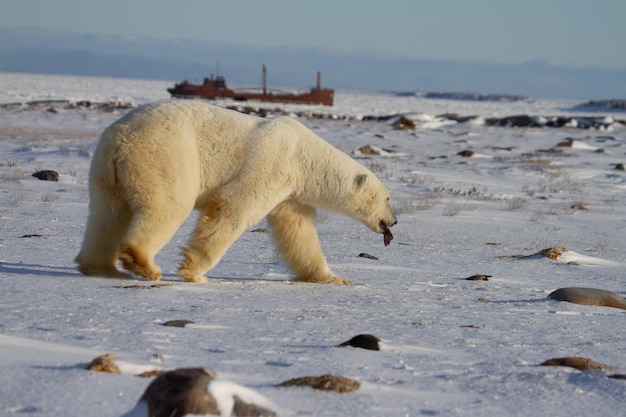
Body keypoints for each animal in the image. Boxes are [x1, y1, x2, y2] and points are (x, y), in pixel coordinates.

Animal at [74, 99, 394, 284]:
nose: (393, 222)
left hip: (105, 170)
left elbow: (299, 232)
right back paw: (144, 264)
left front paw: (334, 277)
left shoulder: (291, 192)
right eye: (389, 199)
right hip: (165, 152)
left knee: (107, 213)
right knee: (169, 203)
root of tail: (120, 139)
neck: (305, 156)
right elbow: (233, 208)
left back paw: (100, 267)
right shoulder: (273, 163)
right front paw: (194, 272)